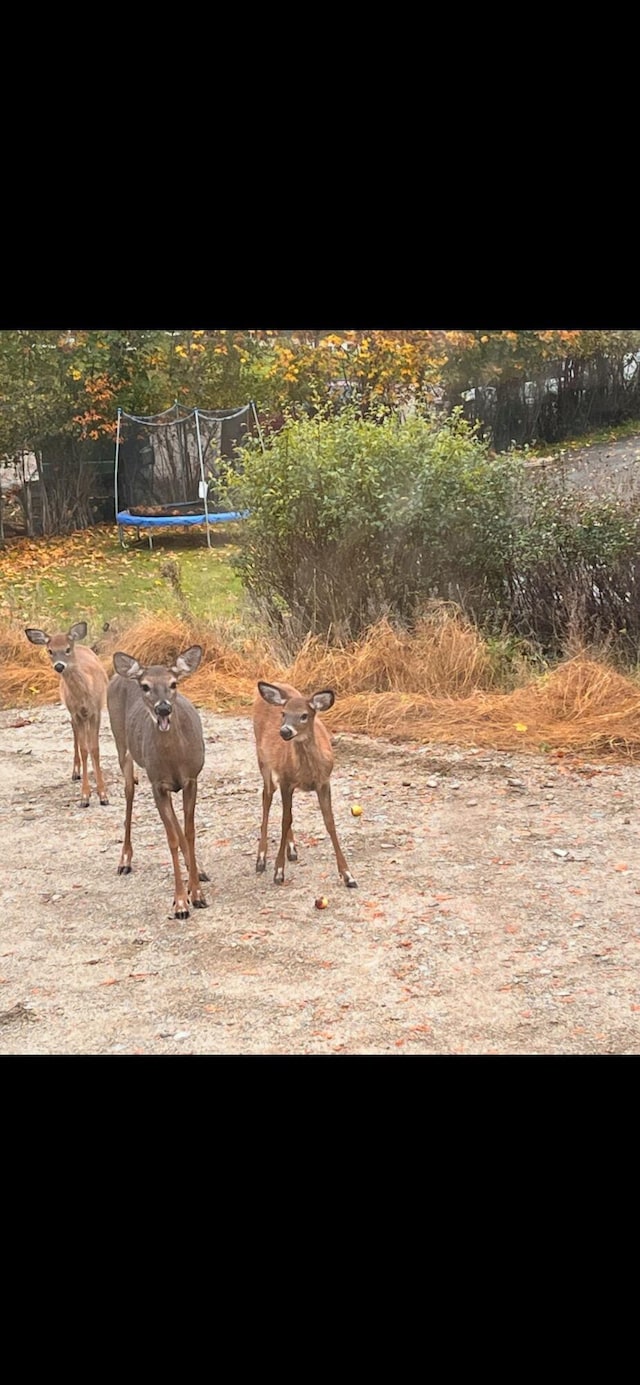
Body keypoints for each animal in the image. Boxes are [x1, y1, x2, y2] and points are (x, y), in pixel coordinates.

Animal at [25, 620, 108, 808]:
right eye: (50, 651)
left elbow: (95, 748)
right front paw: (85, 796)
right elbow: (84, 749)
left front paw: (103, 794)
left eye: (67, 649)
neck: (85, 692)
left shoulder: (96, 711)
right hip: (73, 713)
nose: (59, 666)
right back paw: (76, 772)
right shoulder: (77, 712)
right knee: (76, 733)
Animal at [106, 645, 207, 919]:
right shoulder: (157, 784)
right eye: (145, 686)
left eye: (173, 683)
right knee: (129, 793)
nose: (163, 709)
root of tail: (121, 674)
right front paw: (181, 902)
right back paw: (124, 860)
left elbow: (189, 832)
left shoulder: (191, 778)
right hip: (122, 745)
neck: (174, 760)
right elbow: (171, 838)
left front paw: (197, 893)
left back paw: (198, 870)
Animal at [252, 678, 357, 886]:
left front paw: (348, 875)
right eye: (283, 714)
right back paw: (261, 858)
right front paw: (279, 871)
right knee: (267, 798)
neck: (308, 772)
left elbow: (329, 822)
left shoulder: (323, 782)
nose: (284, 731)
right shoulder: (286, 781)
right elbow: (285, 820)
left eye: (304, 715)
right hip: (263, 761)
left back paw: (292, 850)